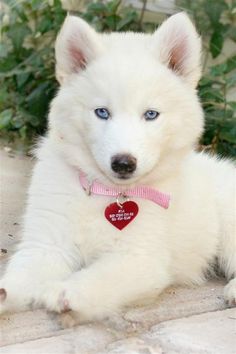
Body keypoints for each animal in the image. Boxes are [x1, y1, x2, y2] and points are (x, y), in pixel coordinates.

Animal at [0, 13, 236, 320]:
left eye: (151, 114)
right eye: (102, 112)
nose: (124, 163)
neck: (106, 193)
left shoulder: (140, 258)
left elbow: (100, 277)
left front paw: (65, 291)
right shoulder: (47, 245)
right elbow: (21, 276)